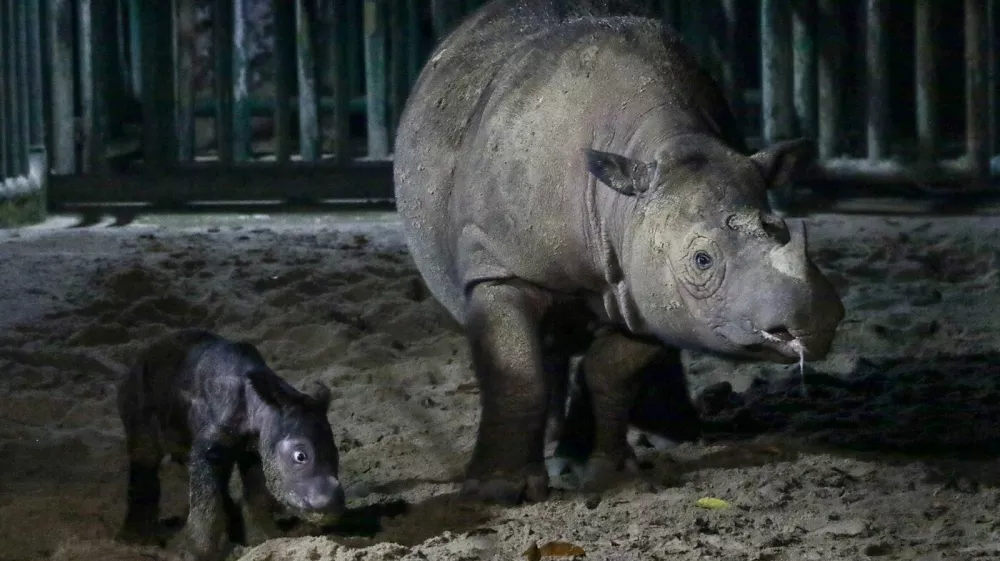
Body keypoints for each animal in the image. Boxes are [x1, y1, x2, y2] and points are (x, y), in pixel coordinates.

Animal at [393, 0, 845, 504]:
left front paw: (596, 472)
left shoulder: (649, 285)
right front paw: (498, 490)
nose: (816, 322)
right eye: (701, 261)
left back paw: (667, 437)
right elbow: (517, 370)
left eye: (780, 230)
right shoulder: (499, 265)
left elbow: (609, 370)